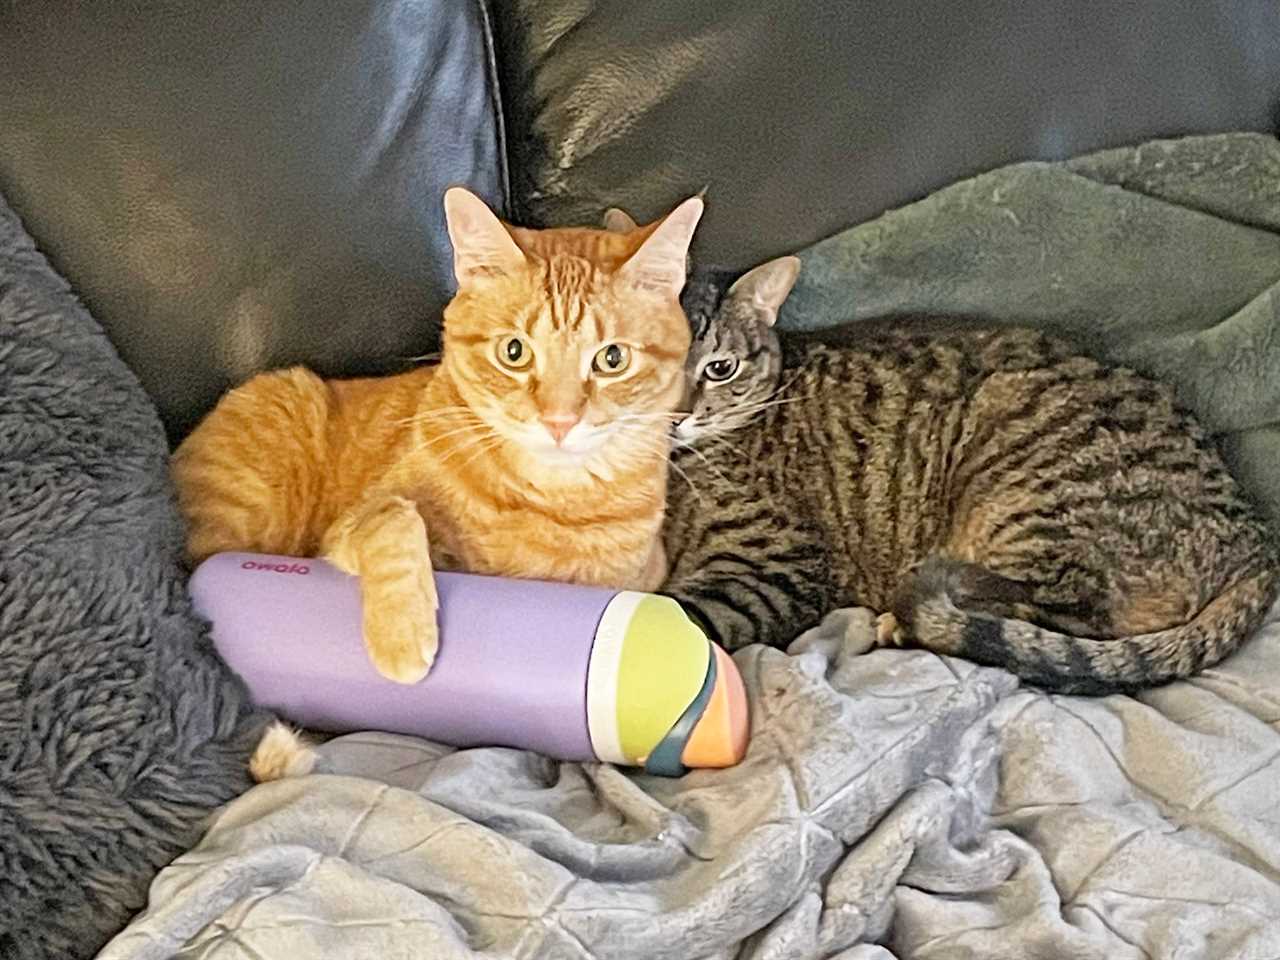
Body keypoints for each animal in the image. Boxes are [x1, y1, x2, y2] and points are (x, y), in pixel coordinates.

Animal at [172, 188, 701, 701]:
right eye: (514, 352)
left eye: (612, 359)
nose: (559, 421)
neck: (548, 500)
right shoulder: (354, 523)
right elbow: (396, 516)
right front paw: (403, 635)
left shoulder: (641, 576)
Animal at [660, 256, 1280, 691]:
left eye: (719, 368)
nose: (675, 414)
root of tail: (1257, 536)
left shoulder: (778, 569)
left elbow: (683, 617)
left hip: (1023, 474)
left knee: (1064, 614)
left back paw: (906, 621)